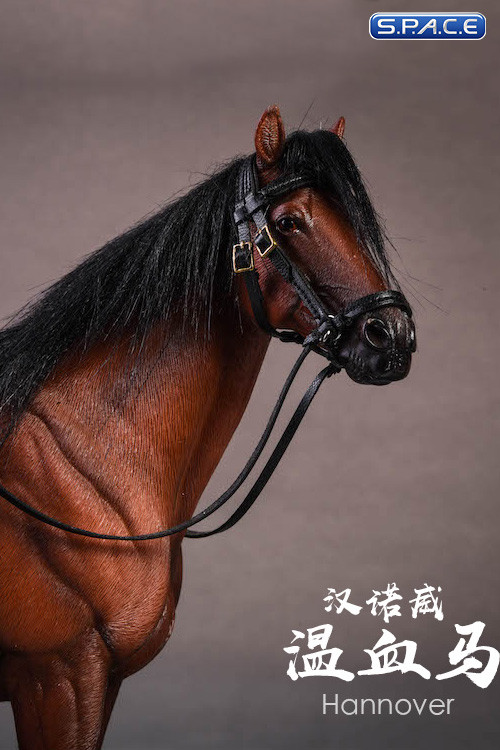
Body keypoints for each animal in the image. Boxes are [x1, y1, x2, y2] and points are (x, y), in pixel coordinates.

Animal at [0, 106, 415, 749]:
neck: (82, 465)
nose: (391, 336)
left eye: (355, 219)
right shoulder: (58, 679)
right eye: (289, 222)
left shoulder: (95, 684)